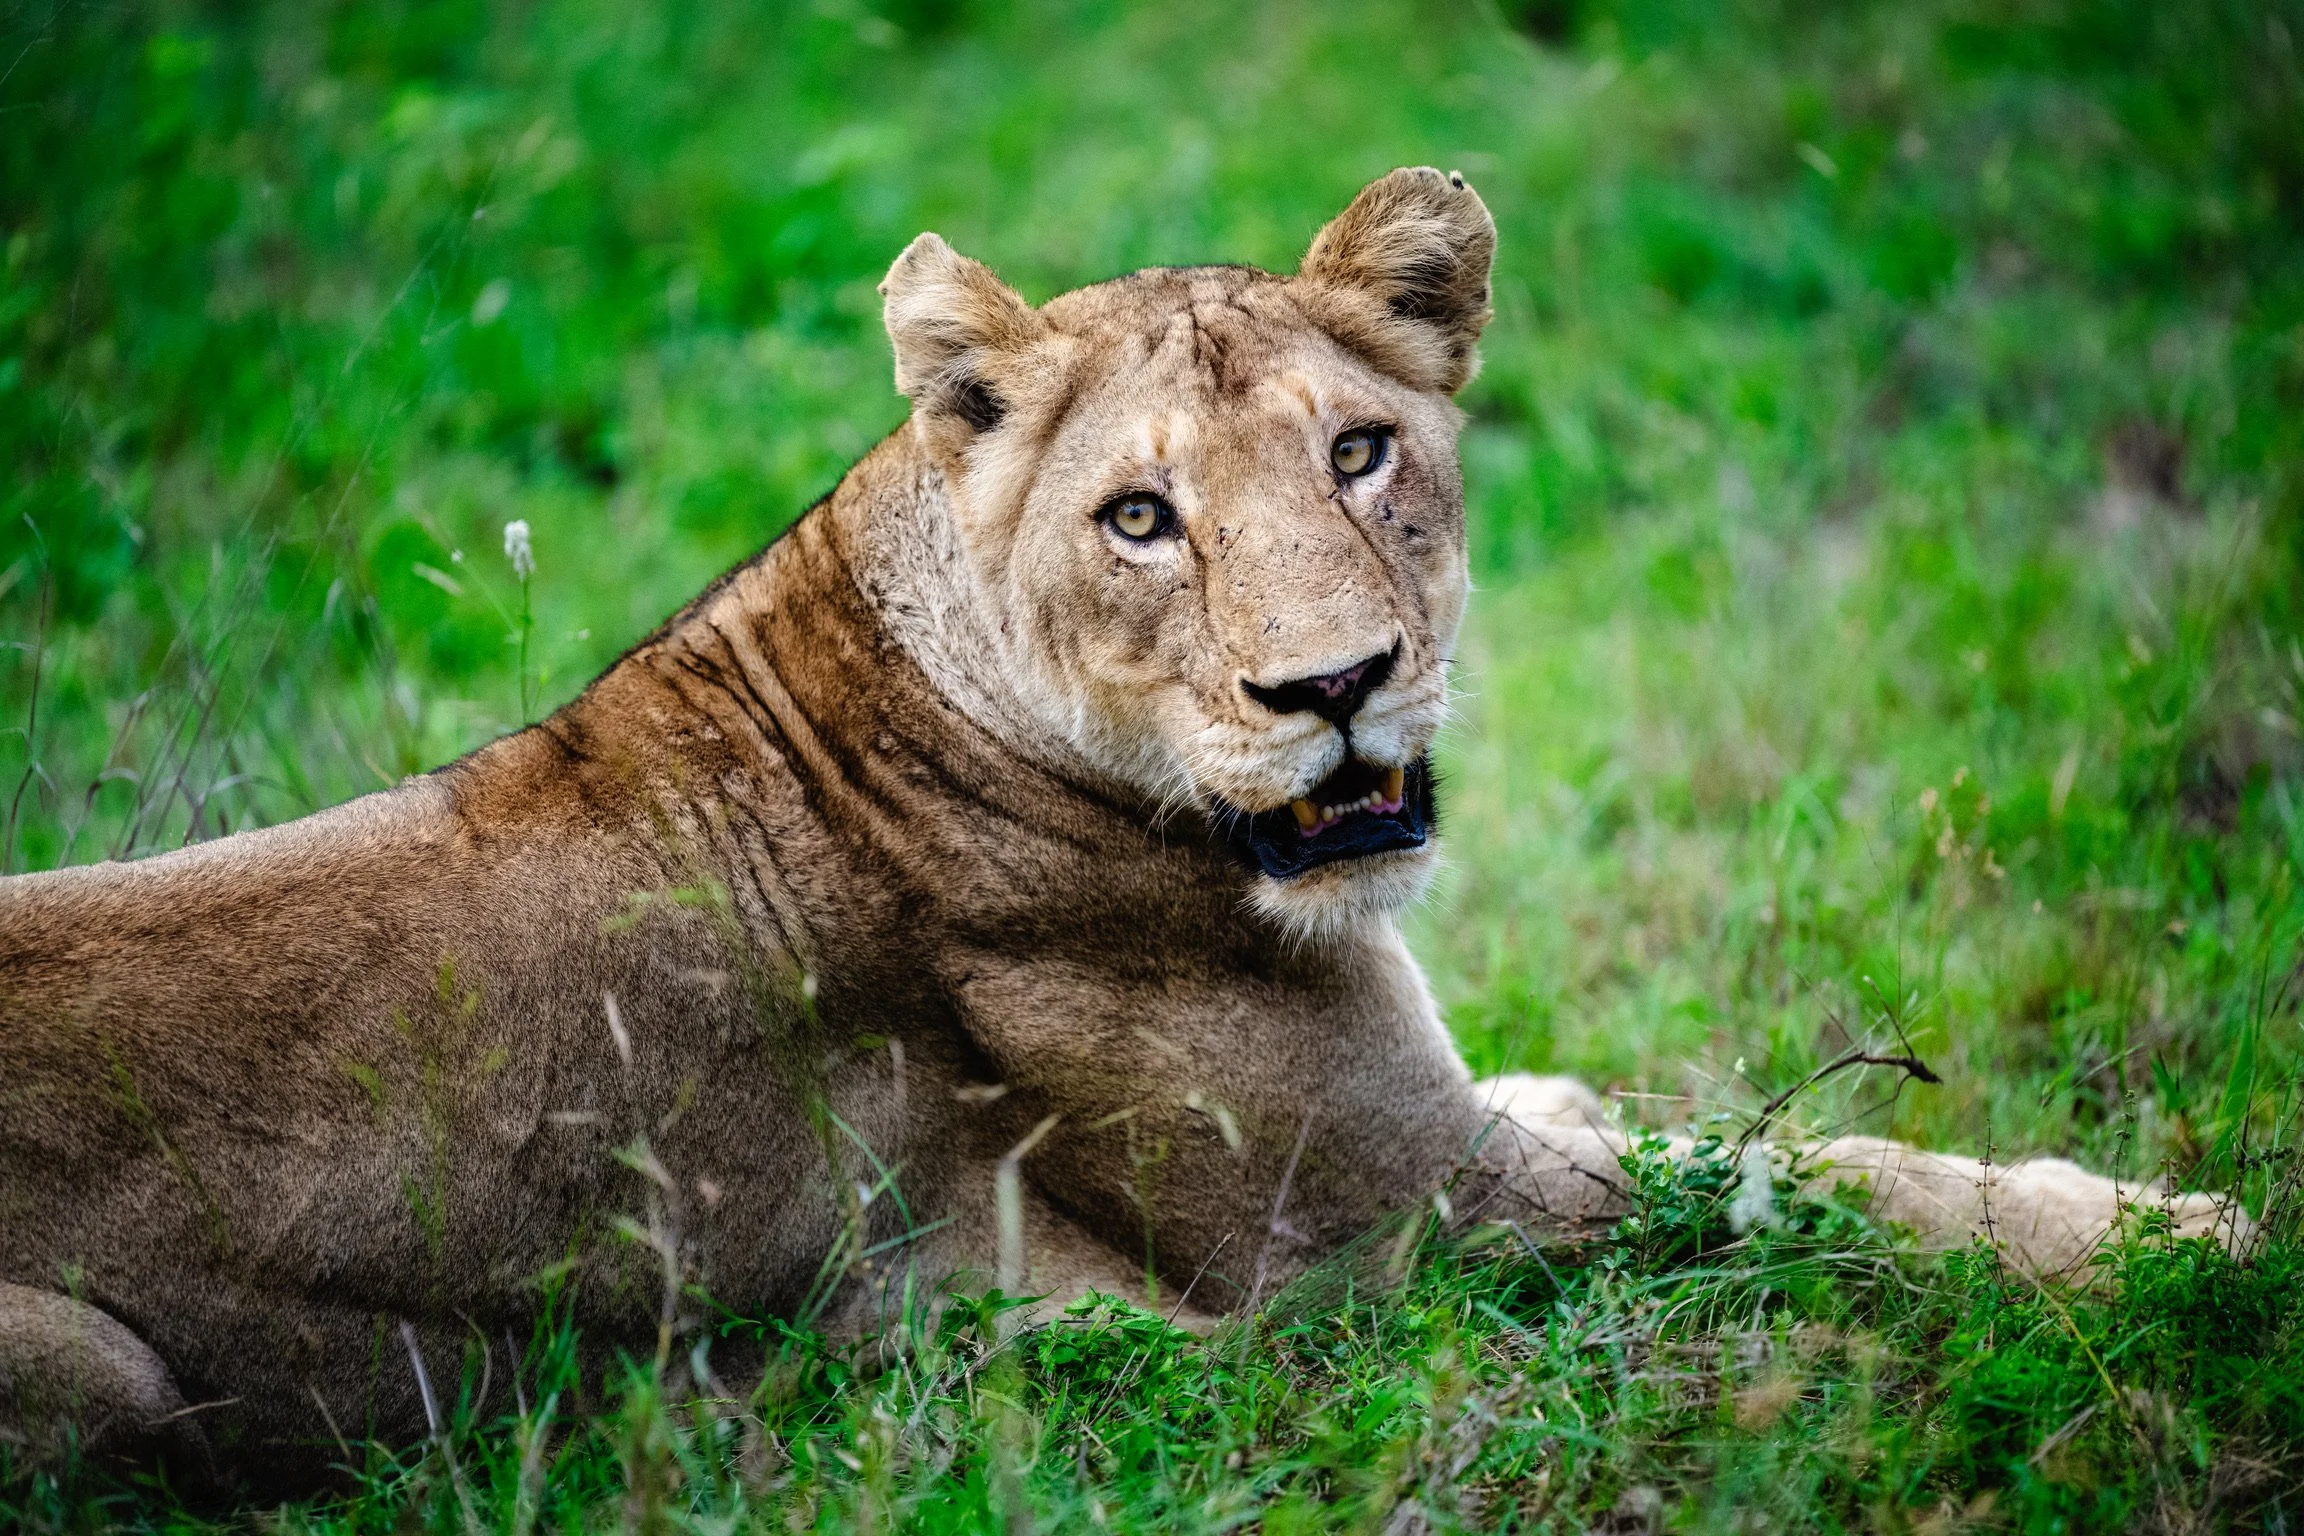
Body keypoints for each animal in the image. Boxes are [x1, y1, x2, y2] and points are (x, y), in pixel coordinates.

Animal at [0, 168, 2241, 1489]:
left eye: (1362, 453)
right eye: (1140, 517)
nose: (1334, 688)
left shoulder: (1451, 1128)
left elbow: (1680, 1117)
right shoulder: (1403, 1235)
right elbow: (1811, 1194)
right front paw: (2175, 1233)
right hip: (101, 1373)